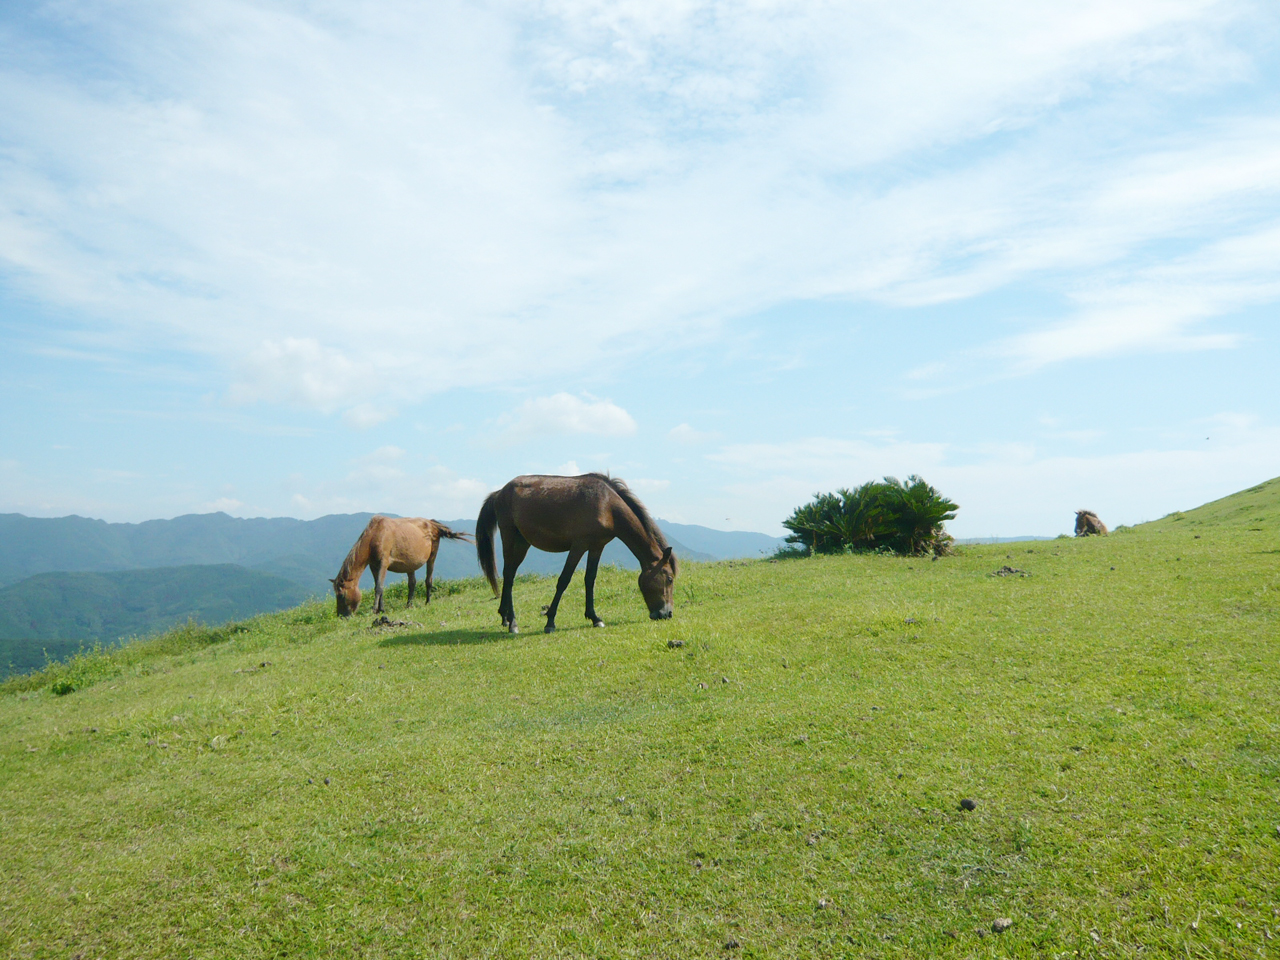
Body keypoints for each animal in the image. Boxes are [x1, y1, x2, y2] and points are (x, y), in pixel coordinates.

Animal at [330, 516, 472, 617]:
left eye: (341, 595)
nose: (341, 616)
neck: (375, 536)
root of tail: (432, 523)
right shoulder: (373, 566)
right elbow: (379, 587)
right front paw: (381, 609)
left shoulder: (383, 563)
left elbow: (378, 587)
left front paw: (375, 610)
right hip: (411, 564)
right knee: (412, 583)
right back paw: (409, 604)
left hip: (432, 556)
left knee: (428, 580)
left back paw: (428, 601)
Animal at [475, 473, 678, 634]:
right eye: (669, 578)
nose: (667, 614)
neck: (607, 505)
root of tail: (499, 492)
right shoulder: (578, 546)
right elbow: (564, 580)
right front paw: (550, 622)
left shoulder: (596, 547)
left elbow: (590, 579)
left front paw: (595, 618)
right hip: (510, 537)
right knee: (509, 577)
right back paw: (513, 623)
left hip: (522, 543)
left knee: (509, 575)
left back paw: (505, 618)